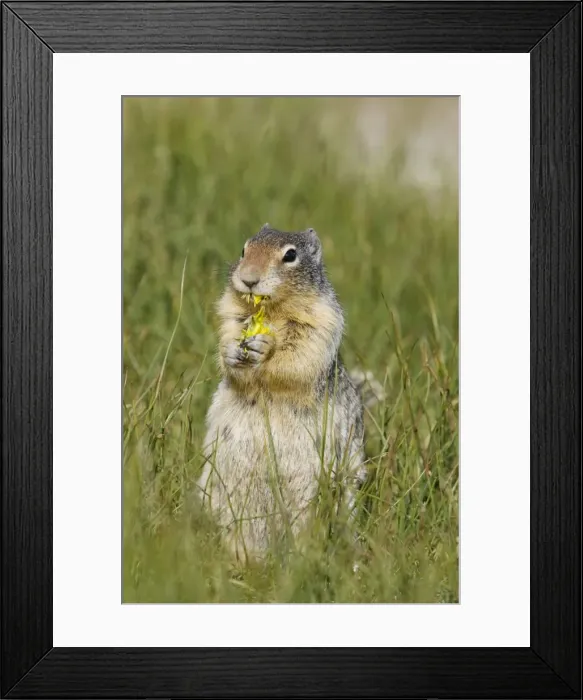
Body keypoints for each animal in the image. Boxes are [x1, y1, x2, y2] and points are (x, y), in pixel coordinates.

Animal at [198, 224, 368, 561]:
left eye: (290, 255)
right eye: (244, 249)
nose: (248, 278)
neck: (271, 309)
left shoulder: (321, 321)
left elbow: (298, 356)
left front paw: (267, 346)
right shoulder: (230, 314)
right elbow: (230, 338)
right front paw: (231, 352)